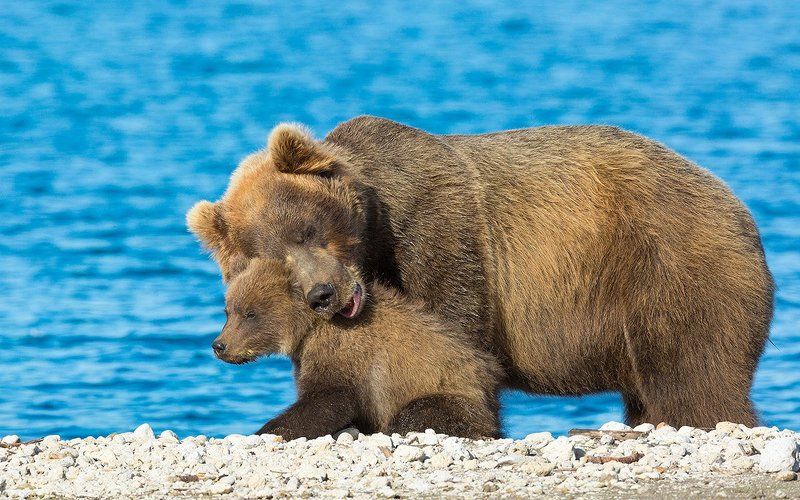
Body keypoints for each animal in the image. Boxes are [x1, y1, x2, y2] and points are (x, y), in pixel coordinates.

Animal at [212, 257, 502, 440]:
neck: (308, 328)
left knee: (417, 413)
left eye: (250, 314)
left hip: (453, 392)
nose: (219, 345)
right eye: (229, 311)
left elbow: (330, 398)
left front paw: (266, 430)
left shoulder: (342, 351)